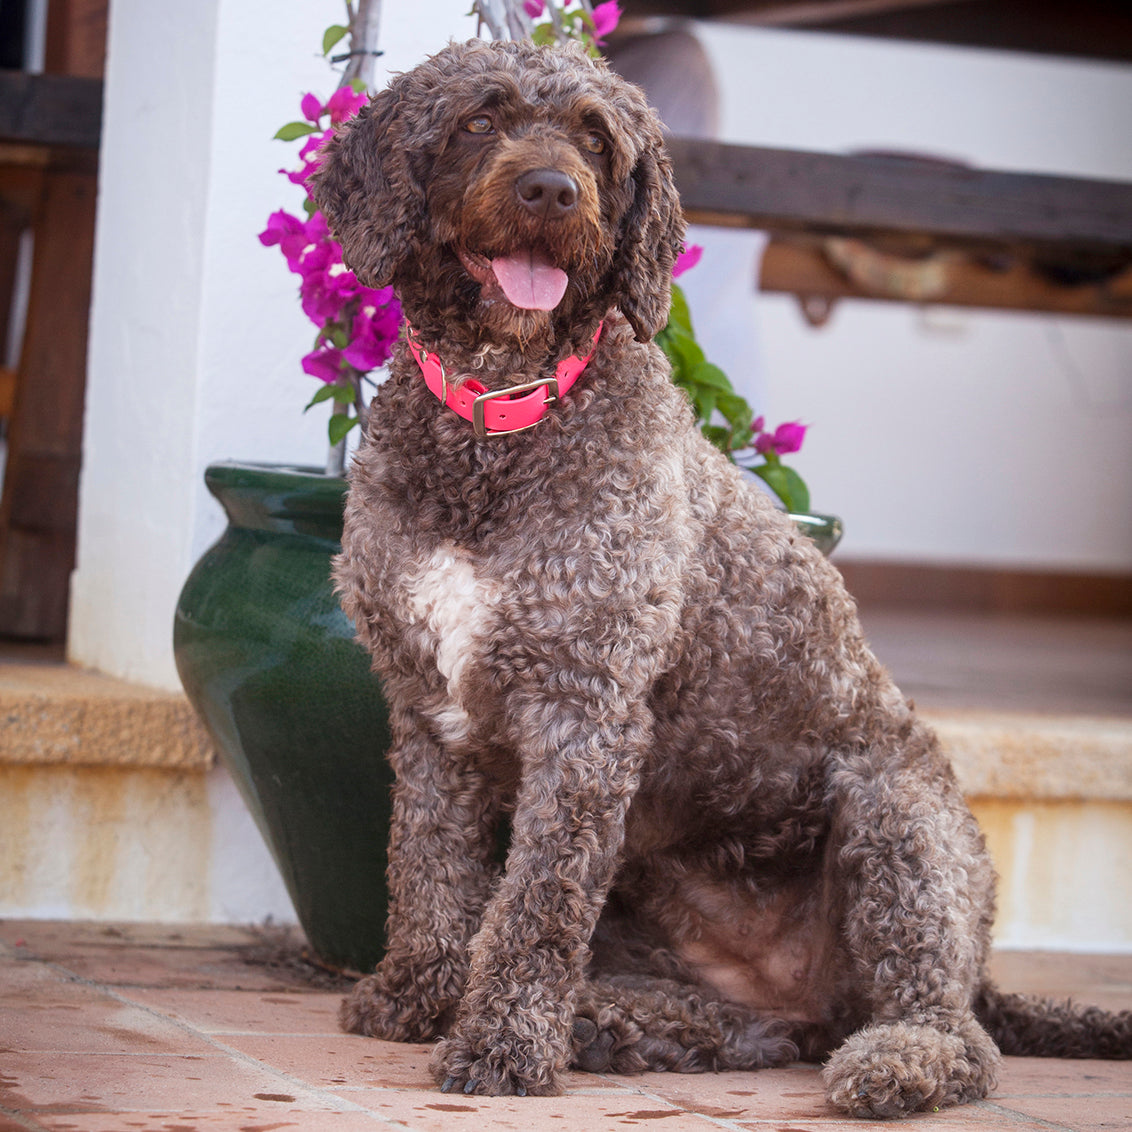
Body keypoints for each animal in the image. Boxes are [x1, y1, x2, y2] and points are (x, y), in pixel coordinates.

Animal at [305, 35, 1127, 1113]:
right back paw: (611, 1025)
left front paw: (502, 1042)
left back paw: (893, 1060)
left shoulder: (585, 712)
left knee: (946, 1030)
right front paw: (419, 991)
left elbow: (536, 904)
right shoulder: (426, 706)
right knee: (753, 1030)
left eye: (595, 139)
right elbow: (429, 868)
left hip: (898, 823)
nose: (550, 190)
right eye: (478, 120)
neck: (499, 415)